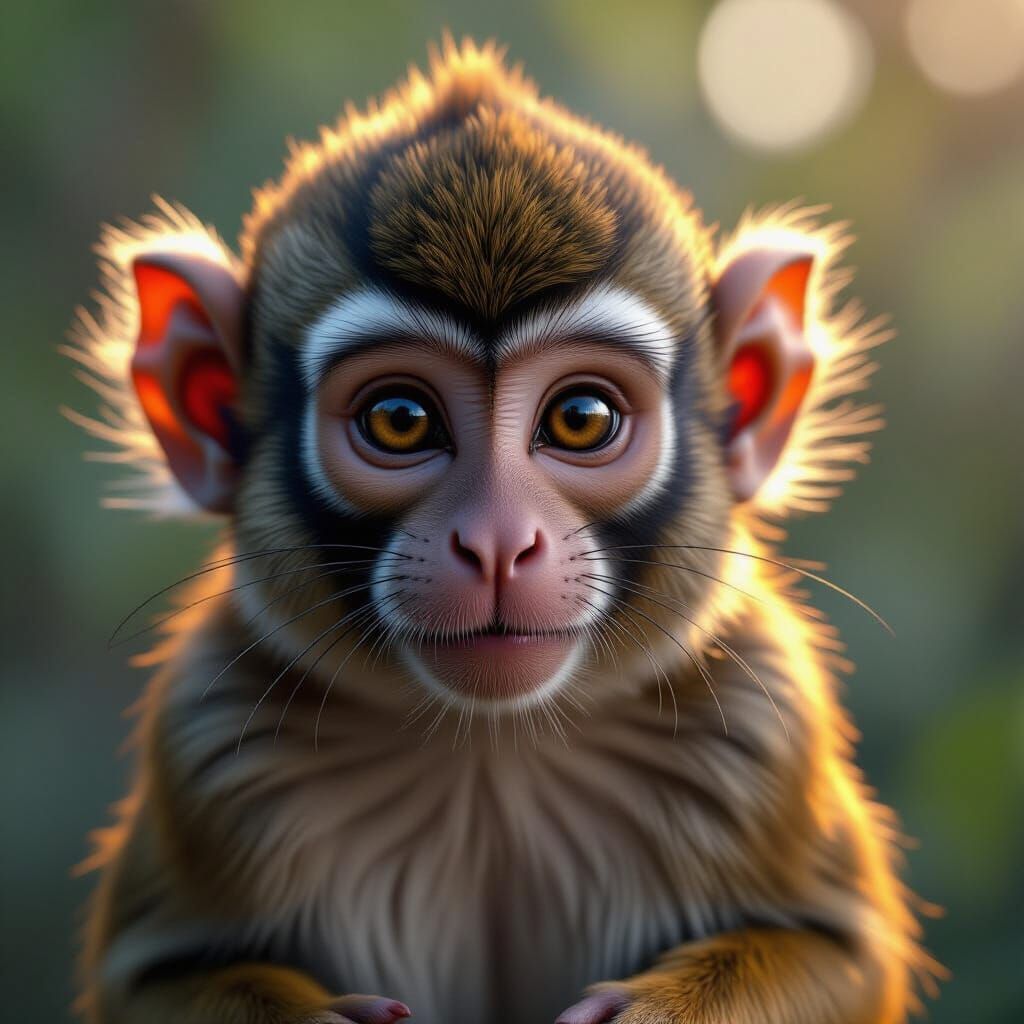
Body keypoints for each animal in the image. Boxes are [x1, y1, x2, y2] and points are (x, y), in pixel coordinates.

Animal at [68, 37, 941, 1024]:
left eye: (582, 419)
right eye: (401, 420)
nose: (495, 542)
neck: (491, 746)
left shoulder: (767, 719)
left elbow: (844, 957)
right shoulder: (205, 732)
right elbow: (150, 976)